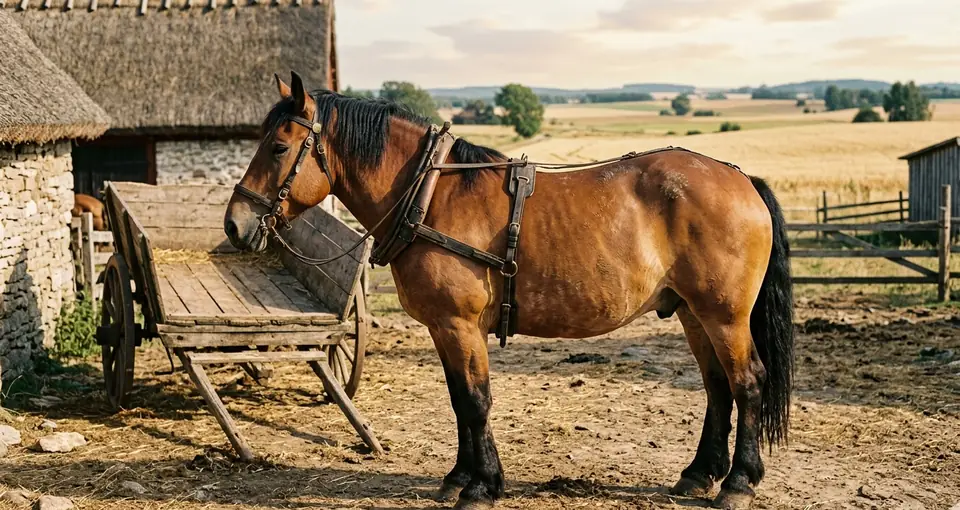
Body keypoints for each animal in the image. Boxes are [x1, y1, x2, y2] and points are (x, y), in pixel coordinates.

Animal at [224, 73, 794, 510]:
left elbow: (476, 400)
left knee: (747, 383)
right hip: (694, 313)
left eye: (278, 147)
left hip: (724, 316)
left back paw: (738, 483)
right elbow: (459, 400)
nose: (235, 224)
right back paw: (699, 474)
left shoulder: (458, 324)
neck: (430, 195)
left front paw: (482, 487)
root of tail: (741, 180)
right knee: (718, 387)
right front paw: (460, 477)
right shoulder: (445, 328)